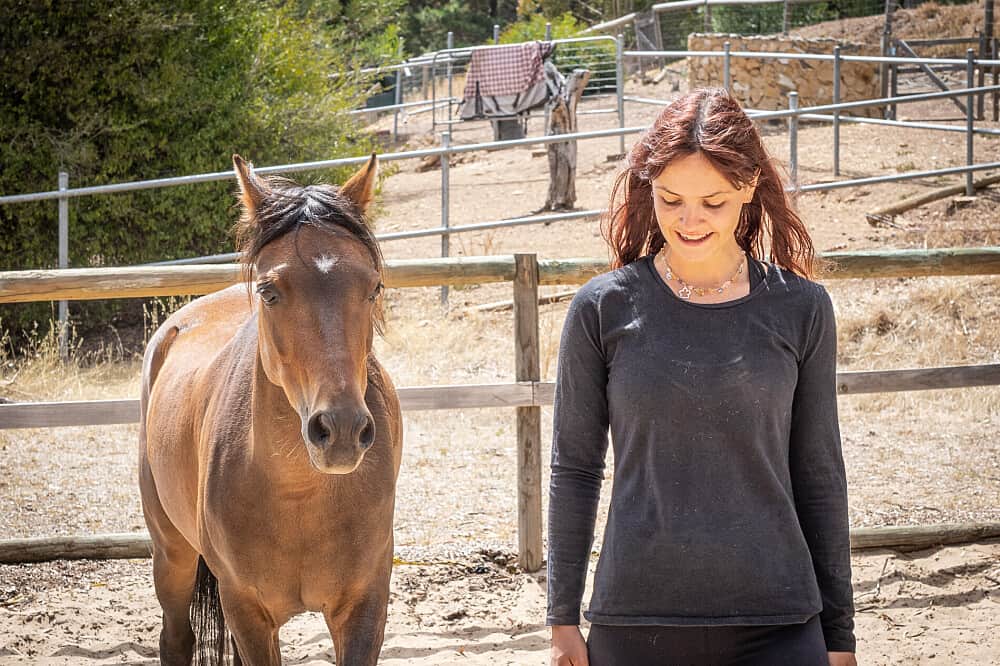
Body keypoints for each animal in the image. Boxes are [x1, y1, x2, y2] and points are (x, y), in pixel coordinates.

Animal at [138, 153, 402, 666]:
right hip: (172, 555)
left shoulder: (365, 605)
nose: (341, 430)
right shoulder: (245, 607)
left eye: (374, 287)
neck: (300, 495)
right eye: (269, 291)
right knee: (176, 638)